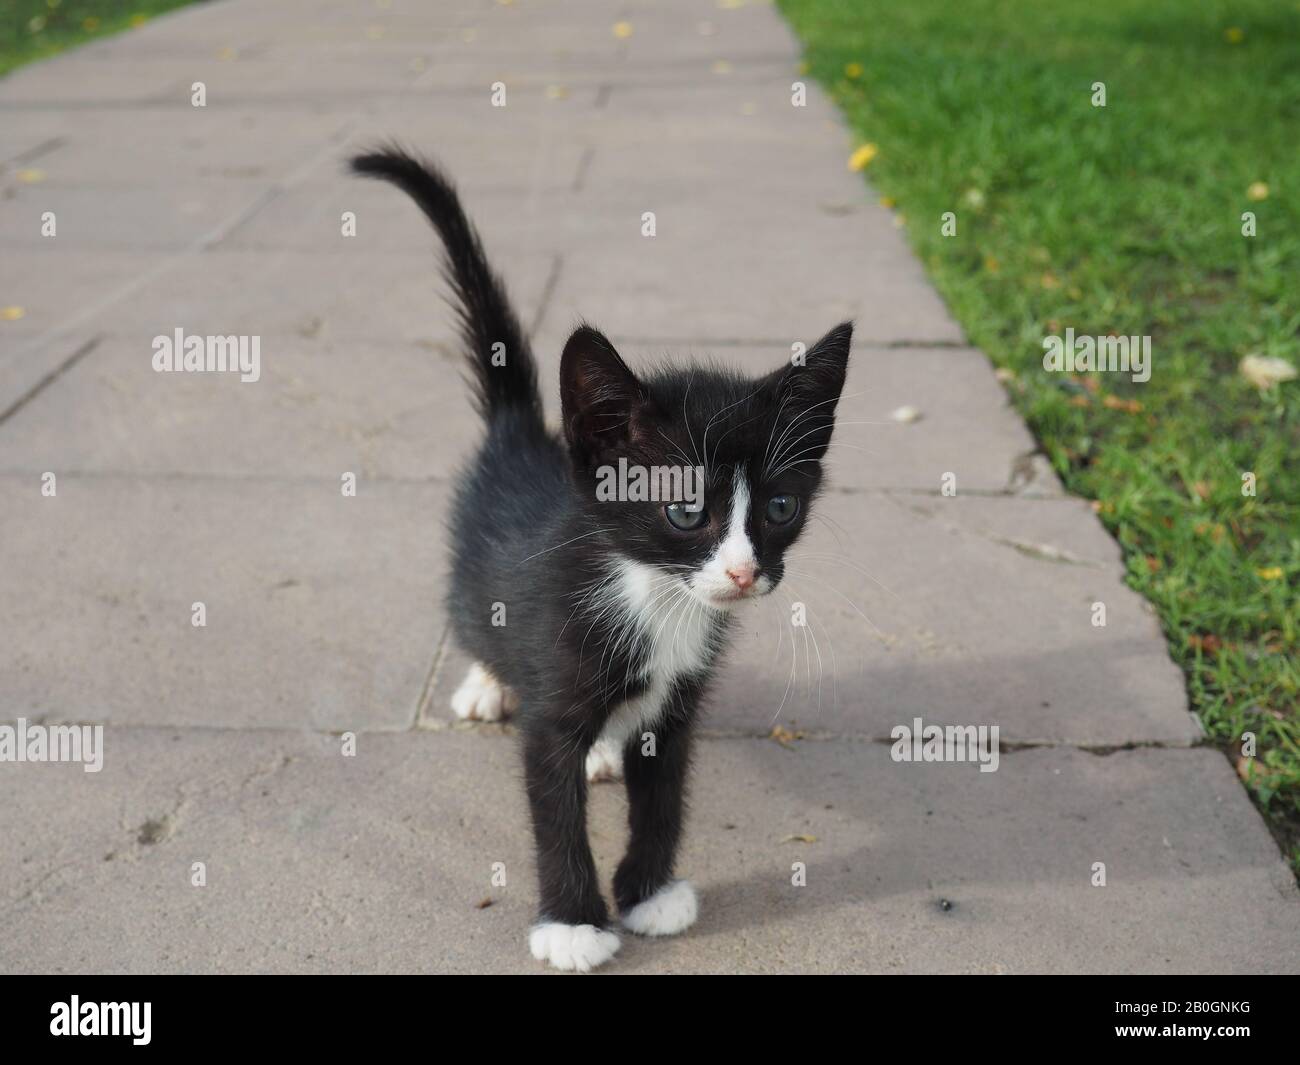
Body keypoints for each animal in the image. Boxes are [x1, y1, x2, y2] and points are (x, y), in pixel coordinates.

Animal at [351, 150, 852, 972]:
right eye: (685, 511)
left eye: (780, 508)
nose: (744, 572)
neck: (655, 595)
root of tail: (522, 434)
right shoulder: (554, 692)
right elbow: (555, 810)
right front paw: (572, 924)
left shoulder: (679, 702)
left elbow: (665, 796)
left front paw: (650, 892)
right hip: (476, 587)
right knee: (475, 620)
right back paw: (487, 685)